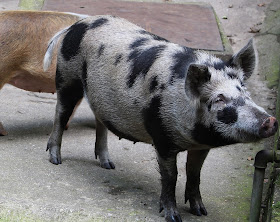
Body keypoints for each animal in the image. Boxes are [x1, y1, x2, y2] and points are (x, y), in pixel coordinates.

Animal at [43, 16, 278, 222]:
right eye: (219, 99)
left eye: (245, 92)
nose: (270, 121)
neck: (194, 135)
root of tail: (76, 25)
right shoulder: (162, 136)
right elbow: (171, 176)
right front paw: (173, 216)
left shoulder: (201, 146)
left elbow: (194, 173)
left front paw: (201, 212)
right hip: (67, 77)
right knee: (60, 113)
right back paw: (56, 159)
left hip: (97, 96)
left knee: (100, 120)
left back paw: (109, 165)